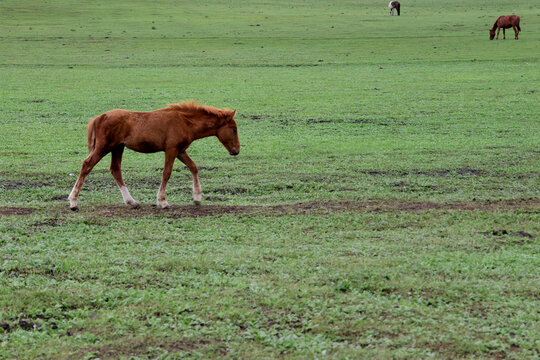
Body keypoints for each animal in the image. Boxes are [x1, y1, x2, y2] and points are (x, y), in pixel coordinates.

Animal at [67, 100, 238, 210]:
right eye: (234, 129)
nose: (236, 150)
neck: (185, 121)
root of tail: (100, 117)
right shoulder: (171, 149)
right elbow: (166, 173)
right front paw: (162, 202)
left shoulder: (180, 150)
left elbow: (193, 167)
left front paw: (197, 198)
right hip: (104, 147)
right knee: (87, 165)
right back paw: (73, 202)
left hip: (118, 148)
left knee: (115, 169)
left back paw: (132, 202)